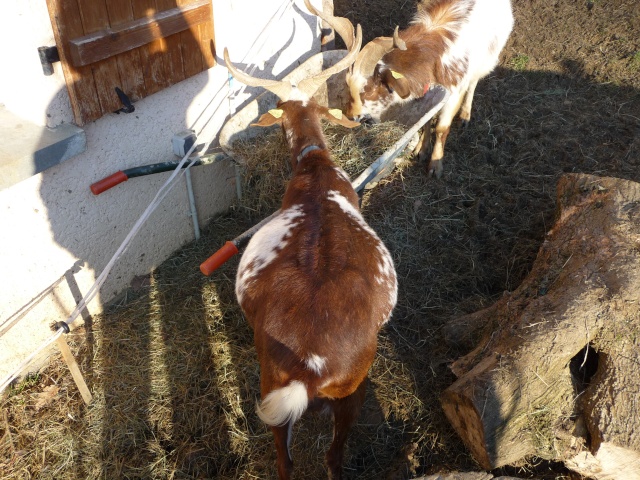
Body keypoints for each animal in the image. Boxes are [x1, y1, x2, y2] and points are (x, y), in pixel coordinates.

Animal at [224, 1, 396, 478]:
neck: (315, 167)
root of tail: (311, 371)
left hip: (278, 384)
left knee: (291, 461)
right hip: (349, 389)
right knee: (329, 457)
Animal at [344, 0, 516, 178]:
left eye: (369, 90)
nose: (349, 115)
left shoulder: (454, 94)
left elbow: (441, 129)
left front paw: (435, 165)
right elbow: (426, 120)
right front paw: (422, 149)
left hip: (488, 58)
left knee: (474, 81)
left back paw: (465, 114)